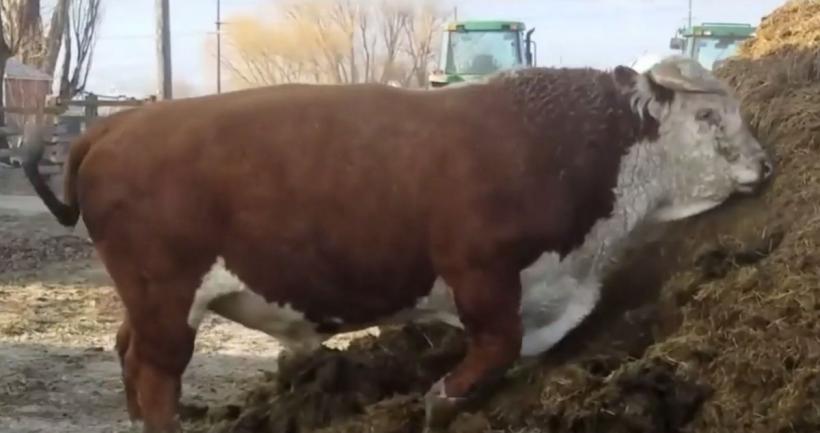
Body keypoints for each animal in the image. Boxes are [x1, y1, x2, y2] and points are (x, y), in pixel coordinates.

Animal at [22, 54, 772, 433]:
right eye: (712, 115)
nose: (765, 164)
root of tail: (116, 126)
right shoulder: (480, 270)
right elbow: (495, 345)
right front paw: (442, 398)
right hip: (166, 295)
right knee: (156, 375)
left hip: (147, 301)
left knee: (129, 353)